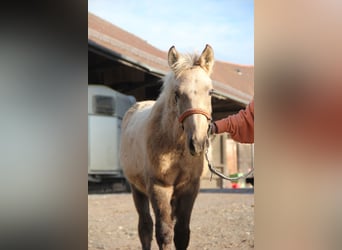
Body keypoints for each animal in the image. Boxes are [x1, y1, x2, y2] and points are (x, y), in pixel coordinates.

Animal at [119, 44, 214, 249]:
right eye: (177, 94)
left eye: (210, 92)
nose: (197, 143)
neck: (175, 146)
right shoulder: (159, 187)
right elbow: (164, 233)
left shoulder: (189, 188)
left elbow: (182, 233)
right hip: (137, 188)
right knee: (145, 227)